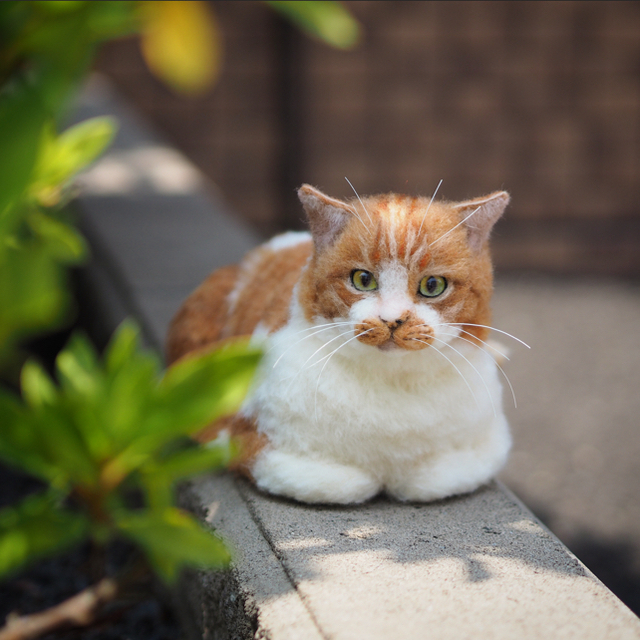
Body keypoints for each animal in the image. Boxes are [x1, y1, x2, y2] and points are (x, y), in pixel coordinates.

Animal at [166, 182, 516, 502]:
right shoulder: (252, 445)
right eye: (363, 280)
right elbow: (346, 483)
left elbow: (426, 480)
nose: (392, 319)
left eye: (433, 285)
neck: (390, 383)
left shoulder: (483, 450)